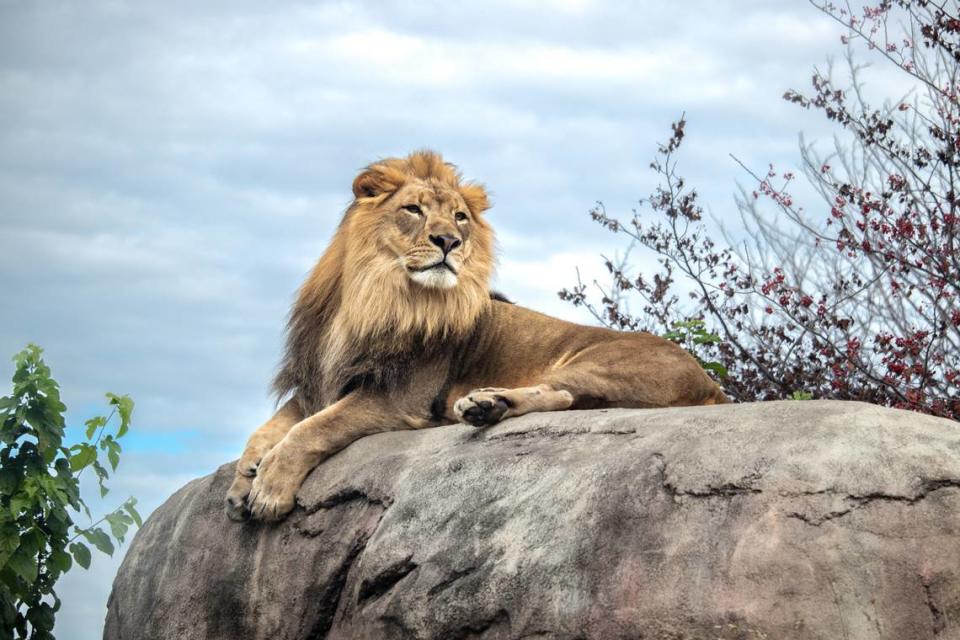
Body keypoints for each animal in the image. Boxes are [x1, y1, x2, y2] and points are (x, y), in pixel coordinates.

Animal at [227, 152, 728, 524]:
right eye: (413, 210)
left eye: (460, 217)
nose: (448, 241)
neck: (378, 295)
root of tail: (711, 383)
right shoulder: (318, 381)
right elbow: (272, 425)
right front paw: (242, 479)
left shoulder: (397, 397)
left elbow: (314, 428)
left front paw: (269, 486)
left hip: (600, 363)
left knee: (562, 394)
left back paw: (485, 404)